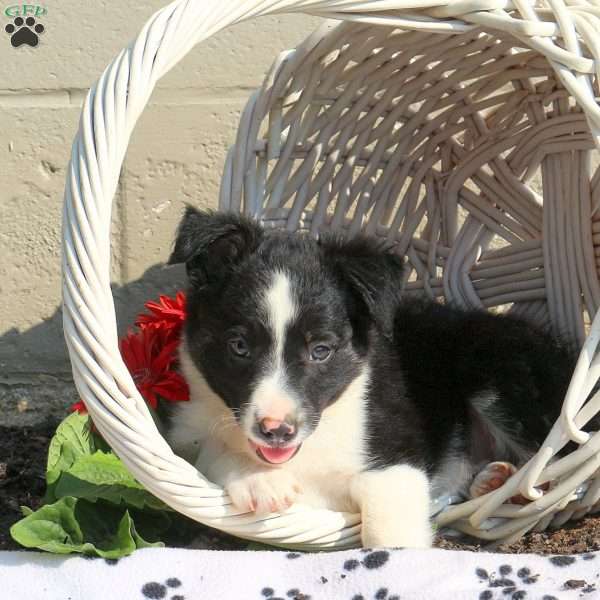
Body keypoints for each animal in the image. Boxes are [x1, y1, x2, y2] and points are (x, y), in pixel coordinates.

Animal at [166, 207, 576, 548]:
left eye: (321, 350)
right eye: (239, 346)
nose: (276, 431)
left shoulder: (395, 457)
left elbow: (389, 532)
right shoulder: (189, 427)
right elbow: (208, 451)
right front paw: (259, 480)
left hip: (497, 369)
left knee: (556, 458)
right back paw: (494, 481)